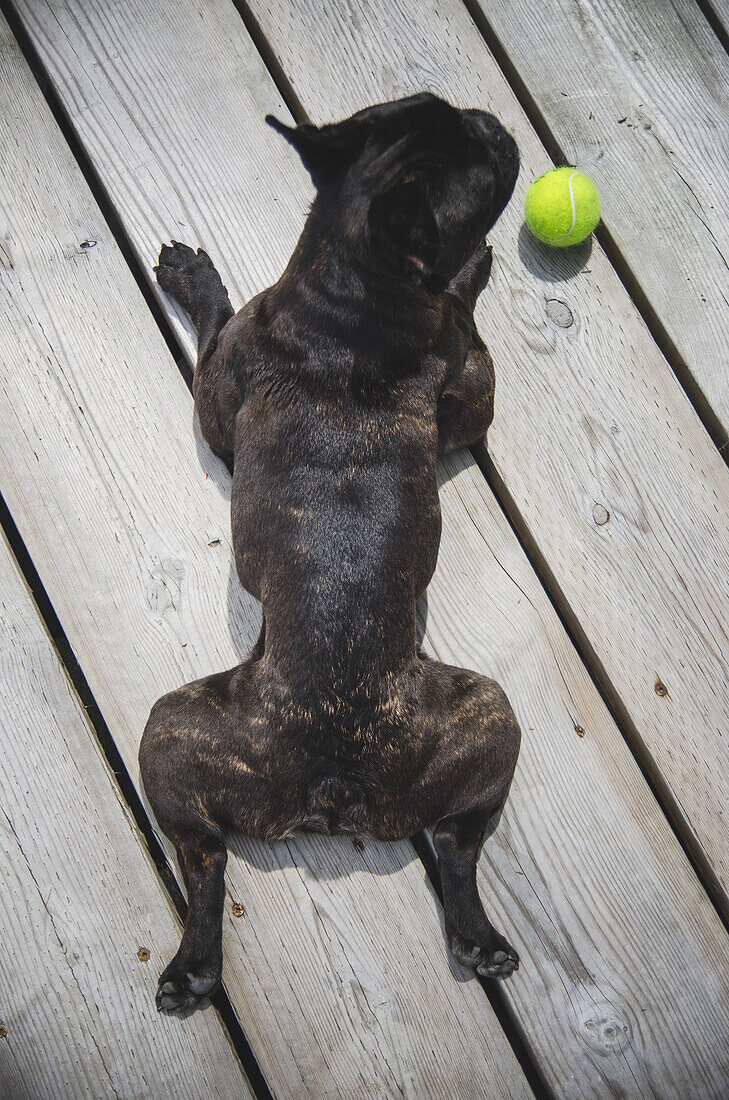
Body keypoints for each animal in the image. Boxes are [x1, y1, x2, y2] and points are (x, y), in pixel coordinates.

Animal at [139, 90, 521, 1007]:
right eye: (486, 176)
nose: (492, 121)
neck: (348, 300)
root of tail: (332, 773)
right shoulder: (467, 387)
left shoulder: (226, 381)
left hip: (175, 727)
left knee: (209, 855)